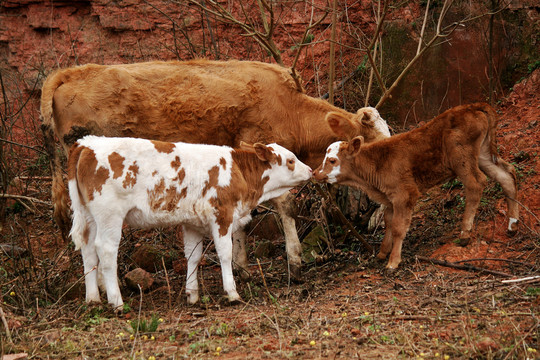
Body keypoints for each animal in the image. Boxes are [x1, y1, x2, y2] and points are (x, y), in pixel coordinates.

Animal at [40, 59, 390, 280]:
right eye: (371, 143)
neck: (290, 109)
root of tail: (72, 72)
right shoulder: (264, 149)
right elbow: (286, 206)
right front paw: (295, 261)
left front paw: (242, 266)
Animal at [67, 136, 312, 310]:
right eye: (291, 160)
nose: (310, 170)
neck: (239, 172)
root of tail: (86, 144)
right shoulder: (222, 216)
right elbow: (225, 254)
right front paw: (232, 293)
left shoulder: (192, 223)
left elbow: (193, 256)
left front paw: (192, 294)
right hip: (110, 216)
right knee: (106, 251)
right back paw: (116, 302)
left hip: (90, 217)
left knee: (88, 251)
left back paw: (93, 299)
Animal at [312, 102, 520, 268]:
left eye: (332, 160)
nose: (315, 173)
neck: (377, 164)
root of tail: (473, 106)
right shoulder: (390, 199)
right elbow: (389, 222)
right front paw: (382, 253)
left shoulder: (405, 194)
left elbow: (398, 227)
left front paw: (393, 261)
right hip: (483, 155)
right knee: (507, 175)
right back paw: (512, 225)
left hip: (462, 158)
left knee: (476, 184)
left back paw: (465, 233)